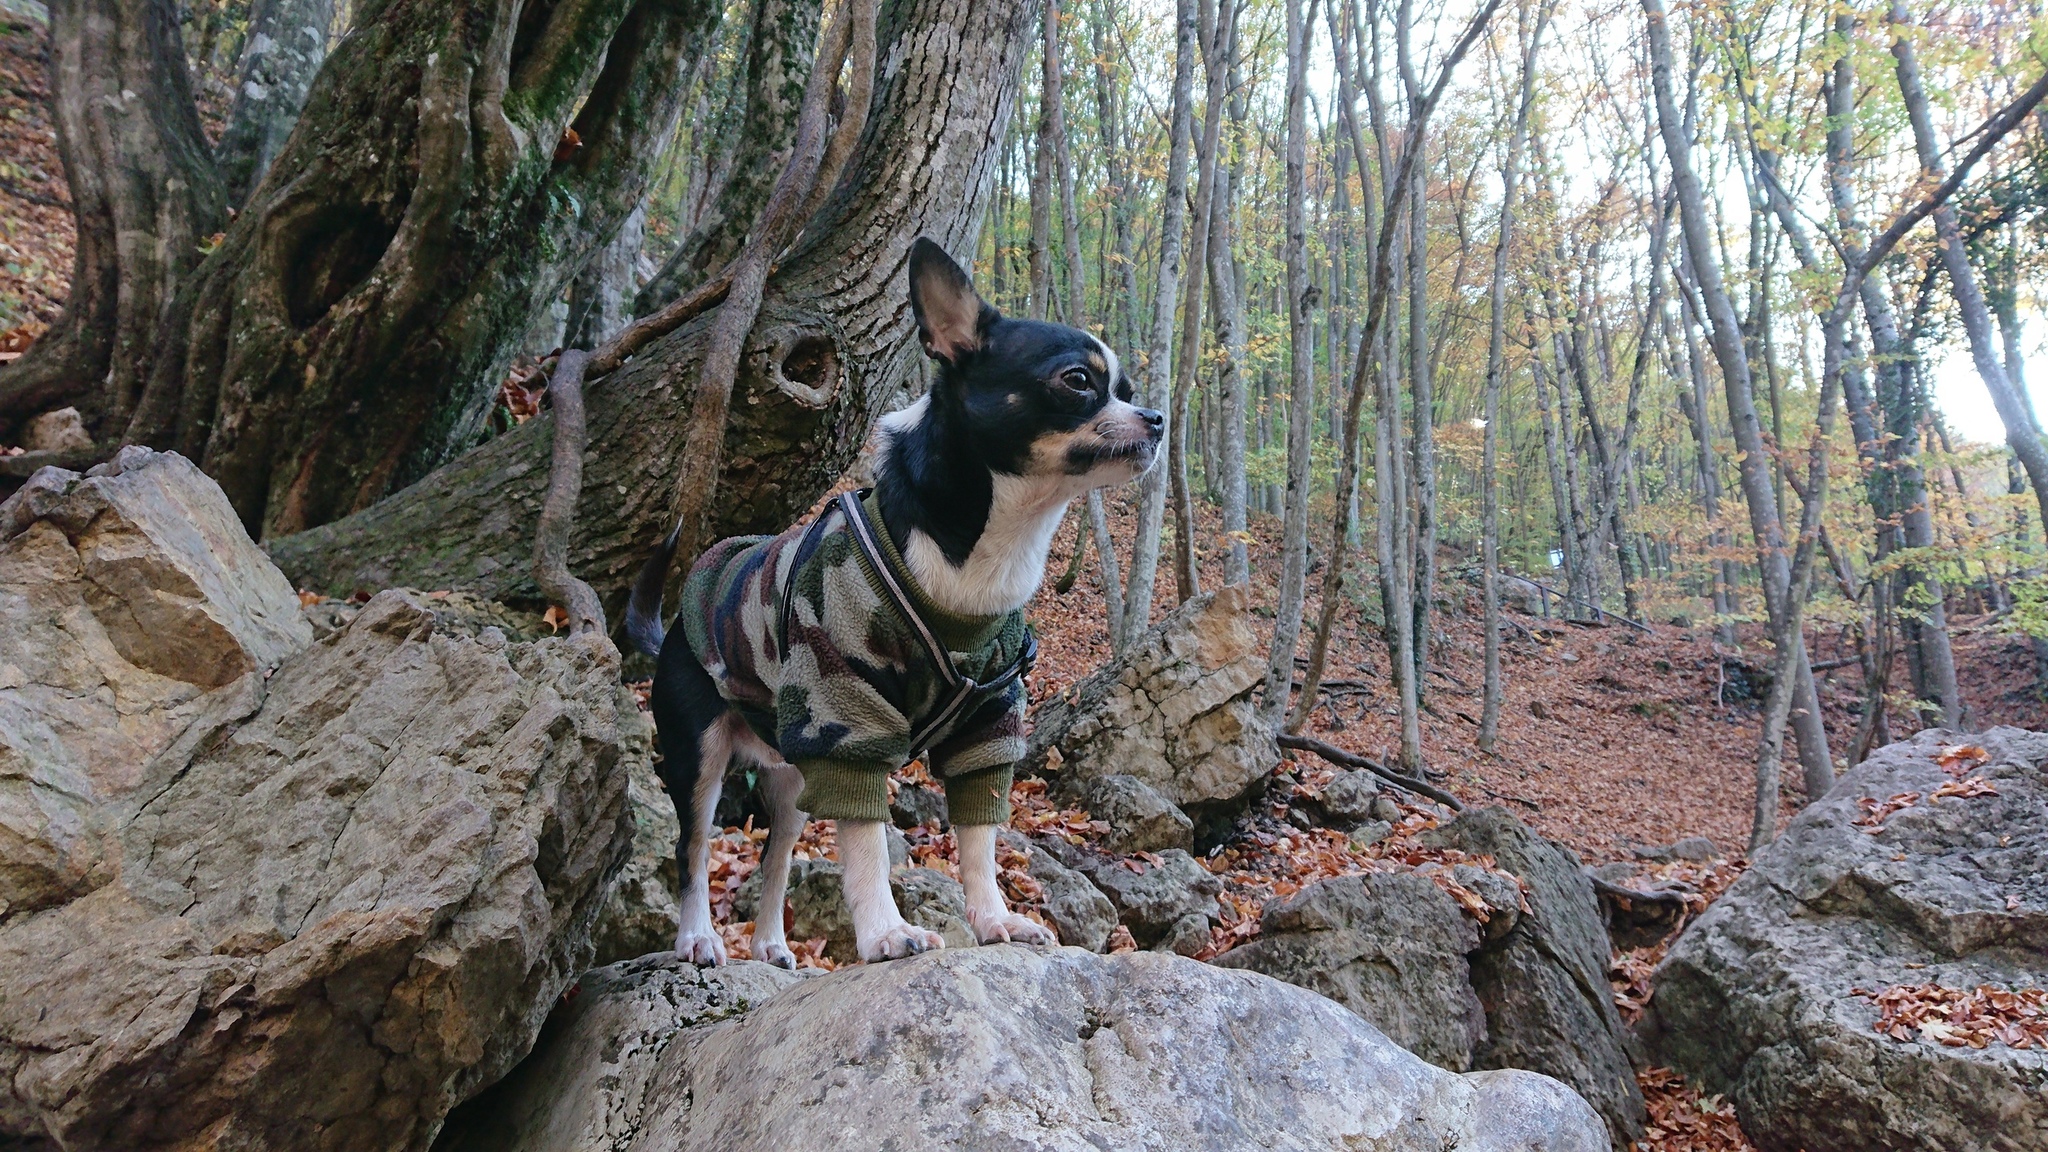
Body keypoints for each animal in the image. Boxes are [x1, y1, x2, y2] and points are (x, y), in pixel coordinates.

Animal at [622, 239, 1163, 959]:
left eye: (1126, 391)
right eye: (1078, 380)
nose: (1157, 418)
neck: (984, 553)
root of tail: (674, 630)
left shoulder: (986, 726)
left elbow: (978, 839)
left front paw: (994, 919)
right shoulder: (848, 723)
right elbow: (867, 846)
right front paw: (886, 931)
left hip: (792, 777)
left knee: (776, 856)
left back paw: (770, 945)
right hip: (702, 756)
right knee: (693, 846)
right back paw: (698, 939)